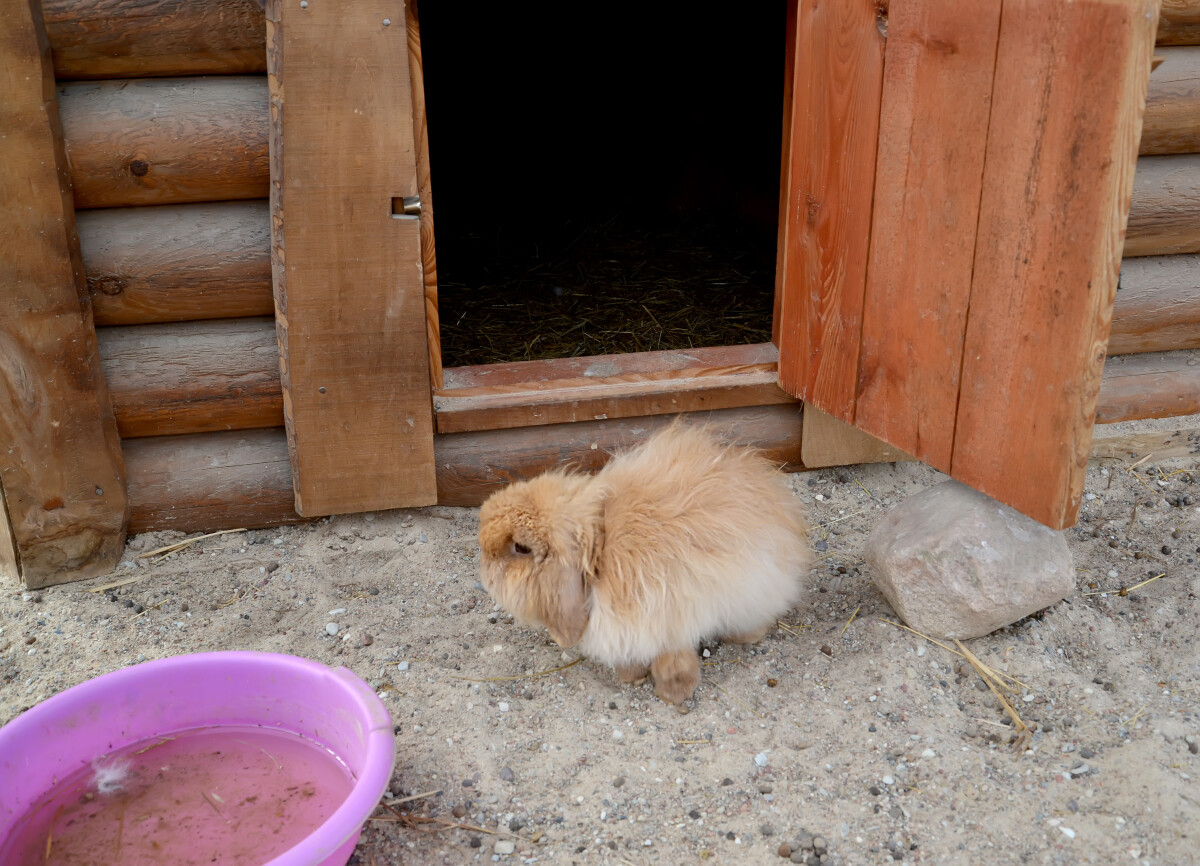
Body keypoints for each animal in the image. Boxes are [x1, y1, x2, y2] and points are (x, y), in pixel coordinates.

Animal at [475, 419, 806, 700]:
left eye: (520, 548)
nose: (484, 571)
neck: (600, 550)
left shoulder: (672, 609)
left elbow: (674, 659)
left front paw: (674, 693)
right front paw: (631, 676)